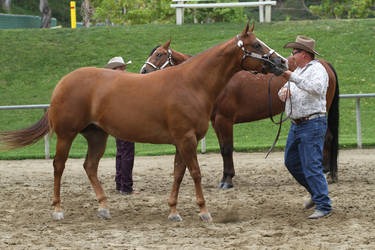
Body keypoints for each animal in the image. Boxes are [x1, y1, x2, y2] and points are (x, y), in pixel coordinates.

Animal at [0, 23, 288, 223]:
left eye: (160, 55)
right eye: (257, 45)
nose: (282, 61)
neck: (192, 83)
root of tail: (63, 81)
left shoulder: (182, 140)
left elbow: (178, 173)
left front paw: (173, 211)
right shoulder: (186, 139)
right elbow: (195, 173)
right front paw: (204, 211)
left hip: (96, 135)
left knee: (90, 166)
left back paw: (104, 207)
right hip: (66, 134)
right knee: (58, 167)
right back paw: (58, 209)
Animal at [142, 39, 340, 188]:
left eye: (159, 54)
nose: (143, 71)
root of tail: (324, 64)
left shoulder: (225, 120)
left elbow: (227, 149)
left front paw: (228, 179)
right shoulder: (216, 122)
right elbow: (223, 149)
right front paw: (226, 176)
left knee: (327, 137)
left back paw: (326, 172)